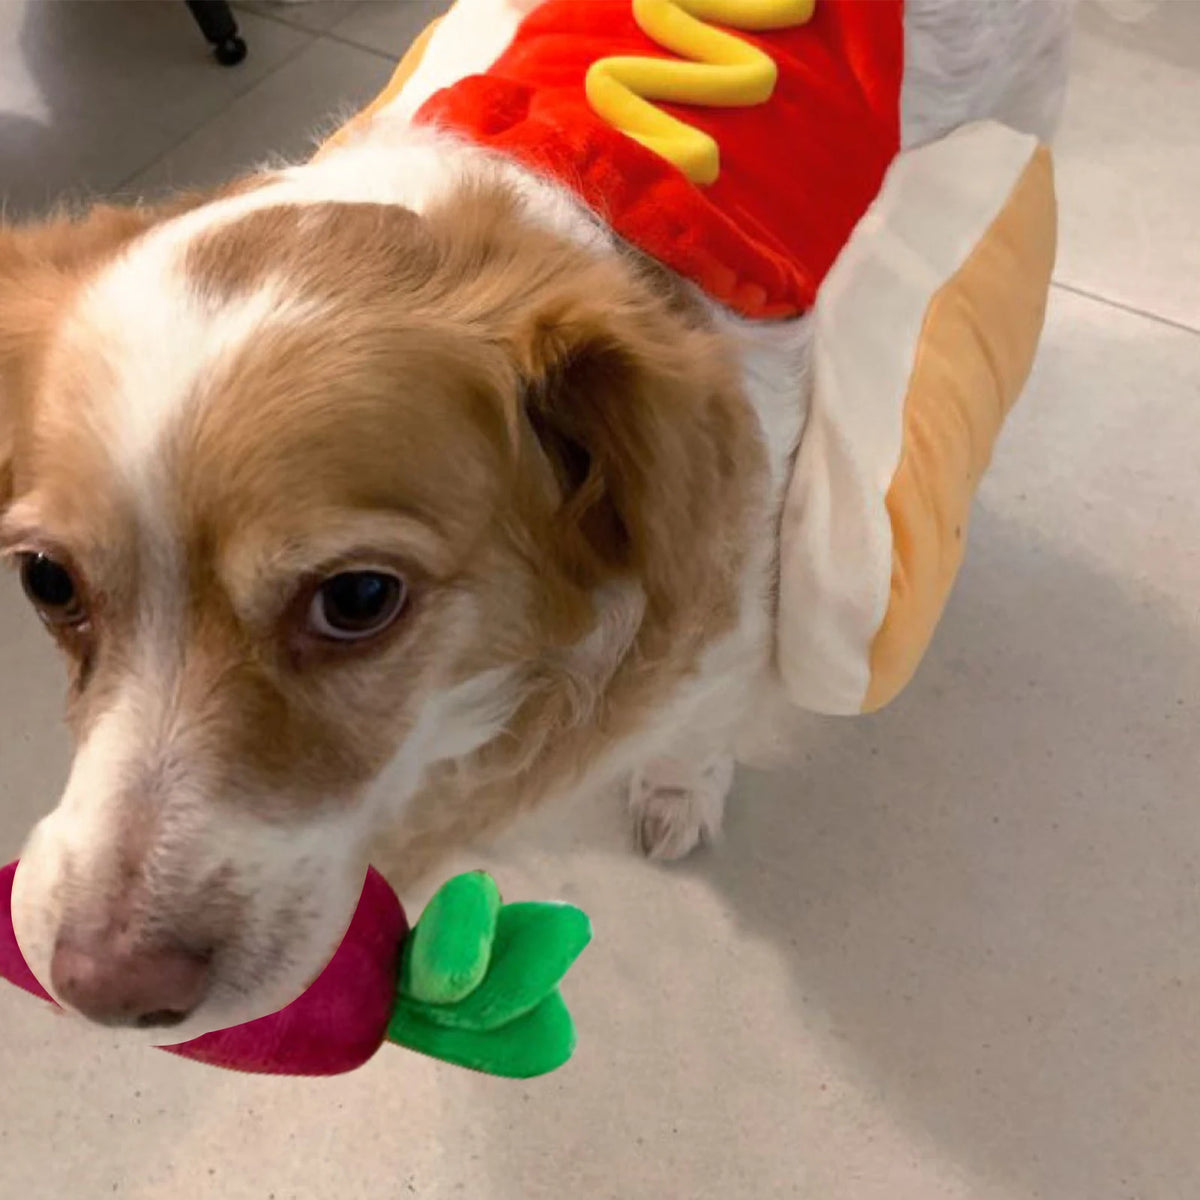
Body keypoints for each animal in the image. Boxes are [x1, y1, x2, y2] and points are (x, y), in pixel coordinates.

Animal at [0, 0, 1075, 1041]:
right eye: (46, 580)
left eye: (359, 598)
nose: (101, 992)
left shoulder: (738, 621)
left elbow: (698, 728)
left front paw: (678, 794)